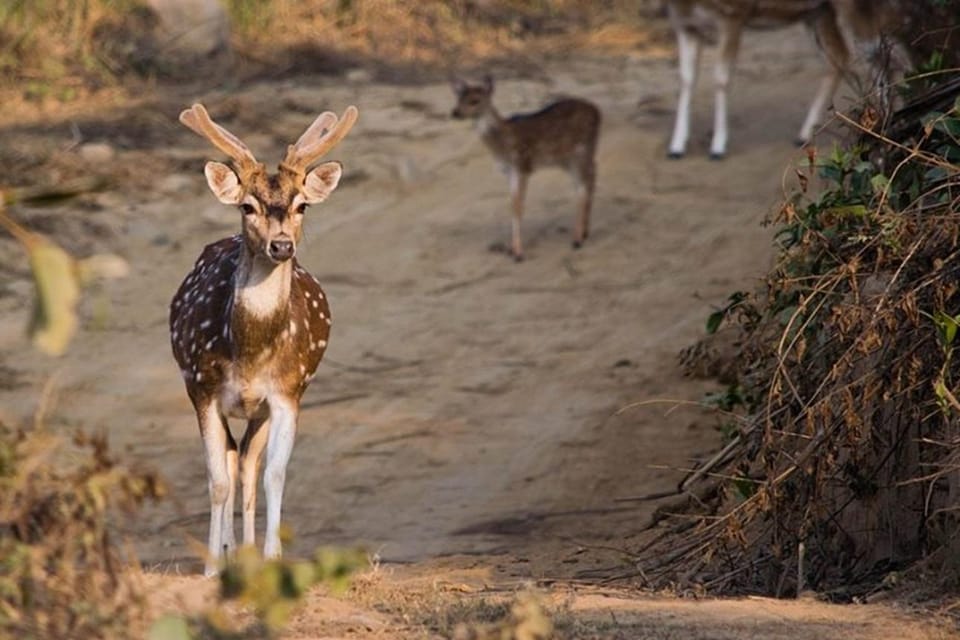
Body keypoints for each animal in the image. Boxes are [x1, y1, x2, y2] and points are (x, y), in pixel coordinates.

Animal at [171, 104, 358, 576]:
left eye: (301, 204)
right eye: (247, 205)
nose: (281, 245)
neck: (250, 353)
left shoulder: (288, 392)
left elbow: (274, 473)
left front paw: (272, 557)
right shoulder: (202, 388)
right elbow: (217, 481)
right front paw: (211, 568)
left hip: (264, 408)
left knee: (247, 463)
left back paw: (248, 553)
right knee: (231, 460)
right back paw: (227, 554)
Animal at [452, 75, 600, 262]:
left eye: (474, 100)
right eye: (458, 98)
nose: (455, 112)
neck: (503, 142)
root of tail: (598, 112)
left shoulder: (522, 166)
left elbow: (518, 207)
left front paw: (518, 253)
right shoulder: (508, 172)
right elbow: (512, 205)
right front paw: (511, 249)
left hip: (580, 151)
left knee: (583, 187)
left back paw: (577, 239)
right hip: (569, 159)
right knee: (590, 178)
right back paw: (585, 231)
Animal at [664, 0, 912, 159]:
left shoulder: (733, 14)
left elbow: (721, 78)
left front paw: (718, 146)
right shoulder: (686, 23)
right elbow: (686, 79)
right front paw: (676, 146)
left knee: (885, 54)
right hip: (818, 12)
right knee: (842, 56)